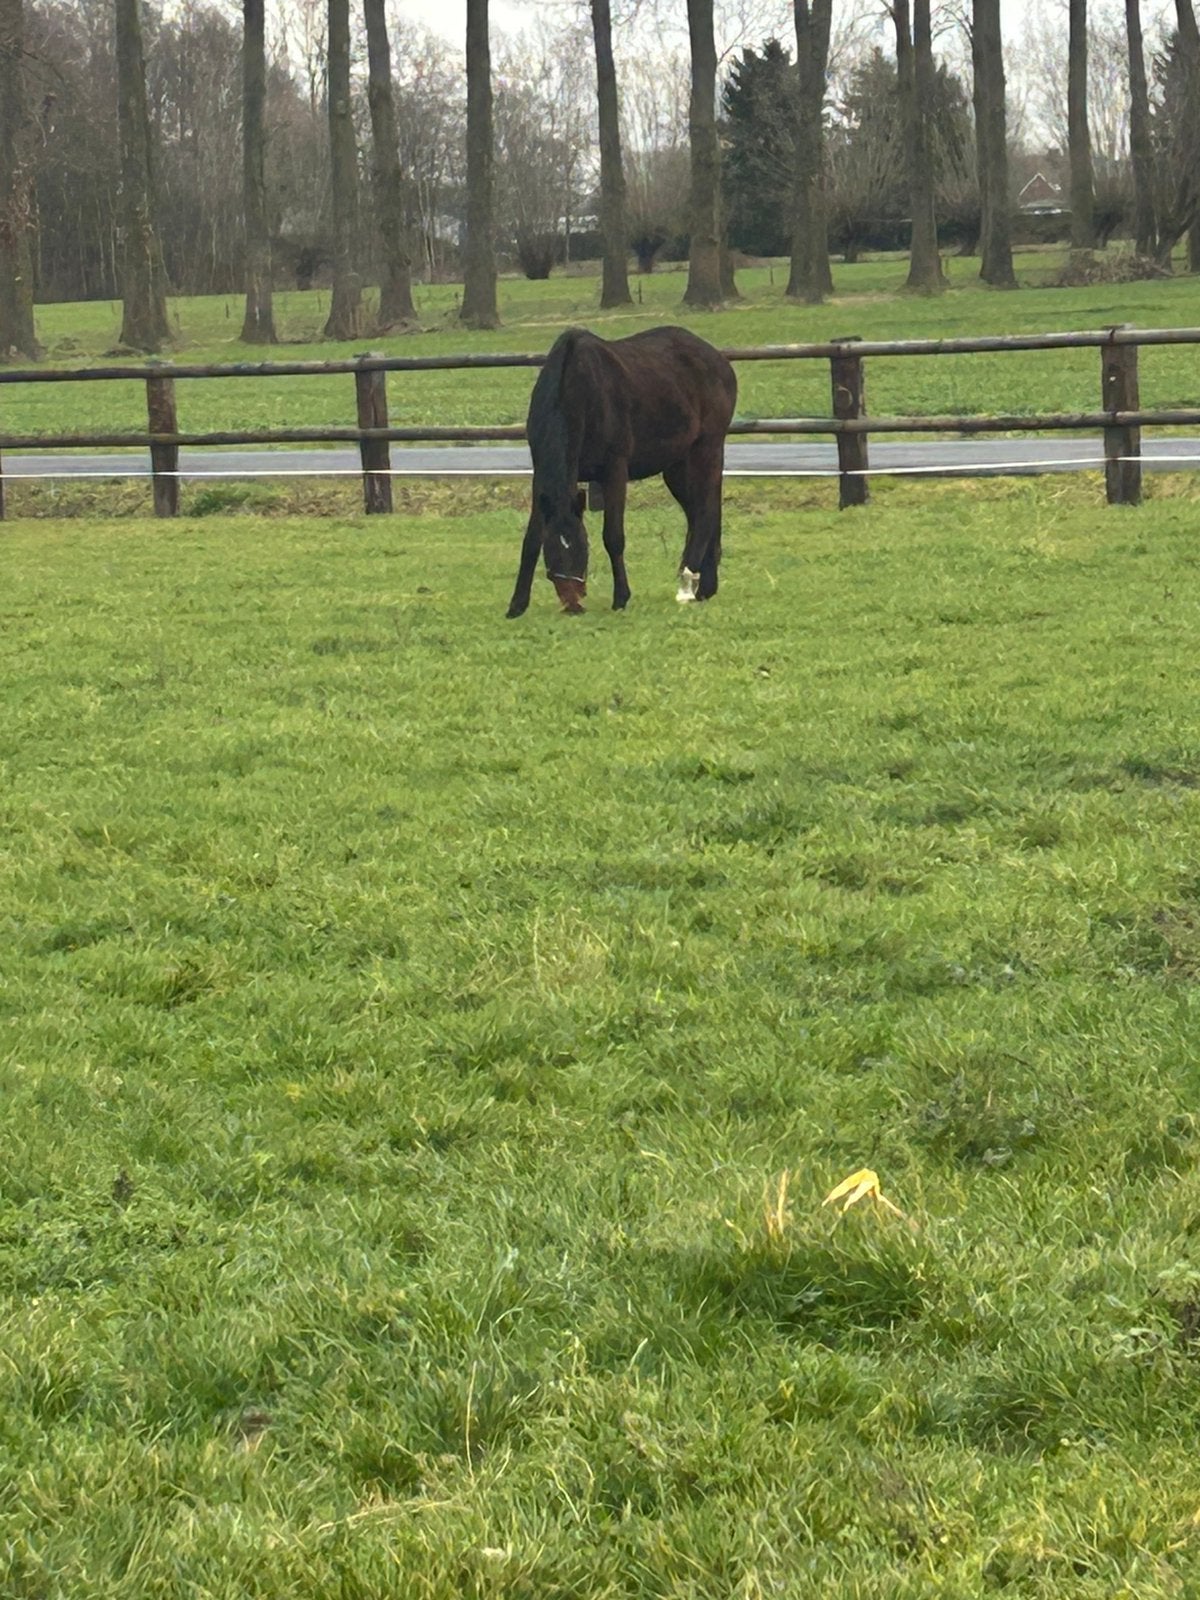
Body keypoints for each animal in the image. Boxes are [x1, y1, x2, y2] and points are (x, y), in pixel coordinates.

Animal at [505, 325, 738, 617]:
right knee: (700, 512)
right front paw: (517, 604)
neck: (574, 389)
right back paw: (706, 587)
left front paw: (621, 598)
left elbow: (613, 536)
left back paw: (686, 584)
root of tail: (717, 359)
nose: (573, 605)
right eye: (553, 552)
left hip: (707, 447)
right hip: (676, 466)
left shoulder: (614, 470)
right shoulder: (541, 477)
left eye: (582, 547)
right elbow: (532, 539)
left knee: (705, 512)